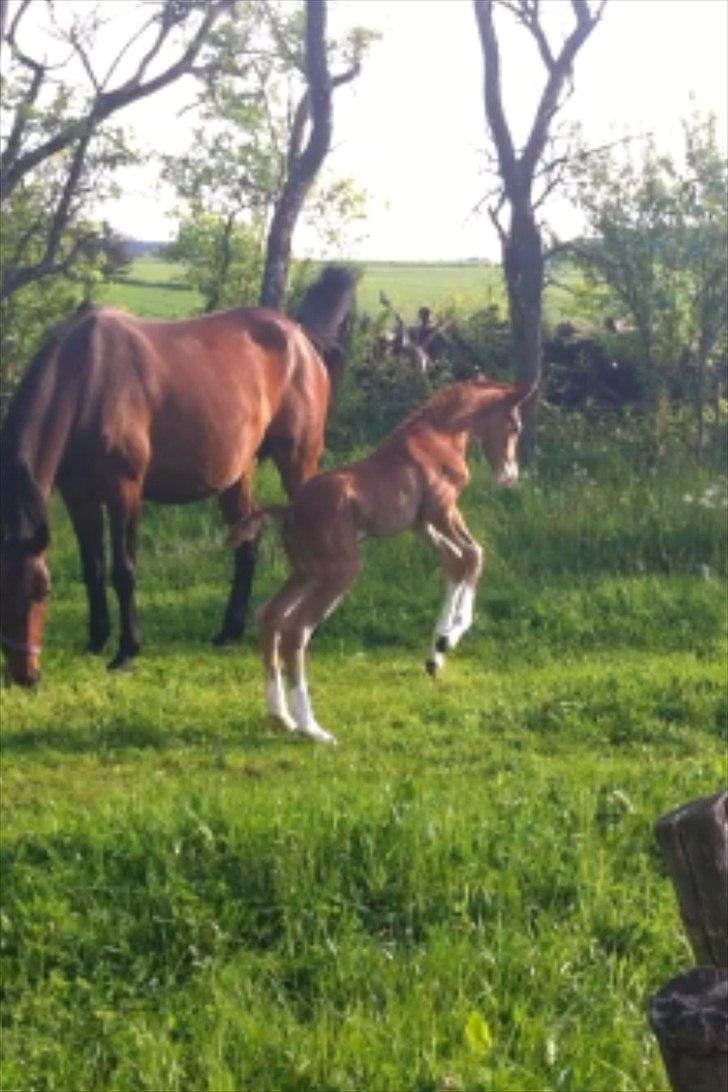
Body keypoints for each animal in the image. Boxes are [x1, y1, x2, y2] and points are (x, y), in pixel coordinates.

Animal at [0, 265, 357, 685]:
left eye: (42, 591)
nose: (25, 674)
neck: (90, 377)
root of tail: (300, 336)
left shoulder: (125, 491)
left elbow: (123, 570)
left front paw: (126, 651)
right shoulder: (78, 495)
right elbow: (93, 567)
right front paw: (96, 640)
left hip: (298, 460)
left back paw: (306, 630)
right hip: (235, 475)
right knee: (247, 542)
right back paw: (228, 631)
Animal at [230, 373, 532, 742]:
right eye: (515, 426)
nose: (509, 476)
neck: (439, 434)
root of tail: (291, 510)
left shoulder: (420, 523)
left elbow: (457, 560)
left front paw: (437, 652)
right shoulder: (442, 509)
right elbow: (473, 555)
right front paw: (450, 637)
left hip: (306, 570)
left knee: (270, 615)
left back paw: (279, 717)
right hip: (339, 572)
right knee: (296, 630)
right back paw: (312, 728)